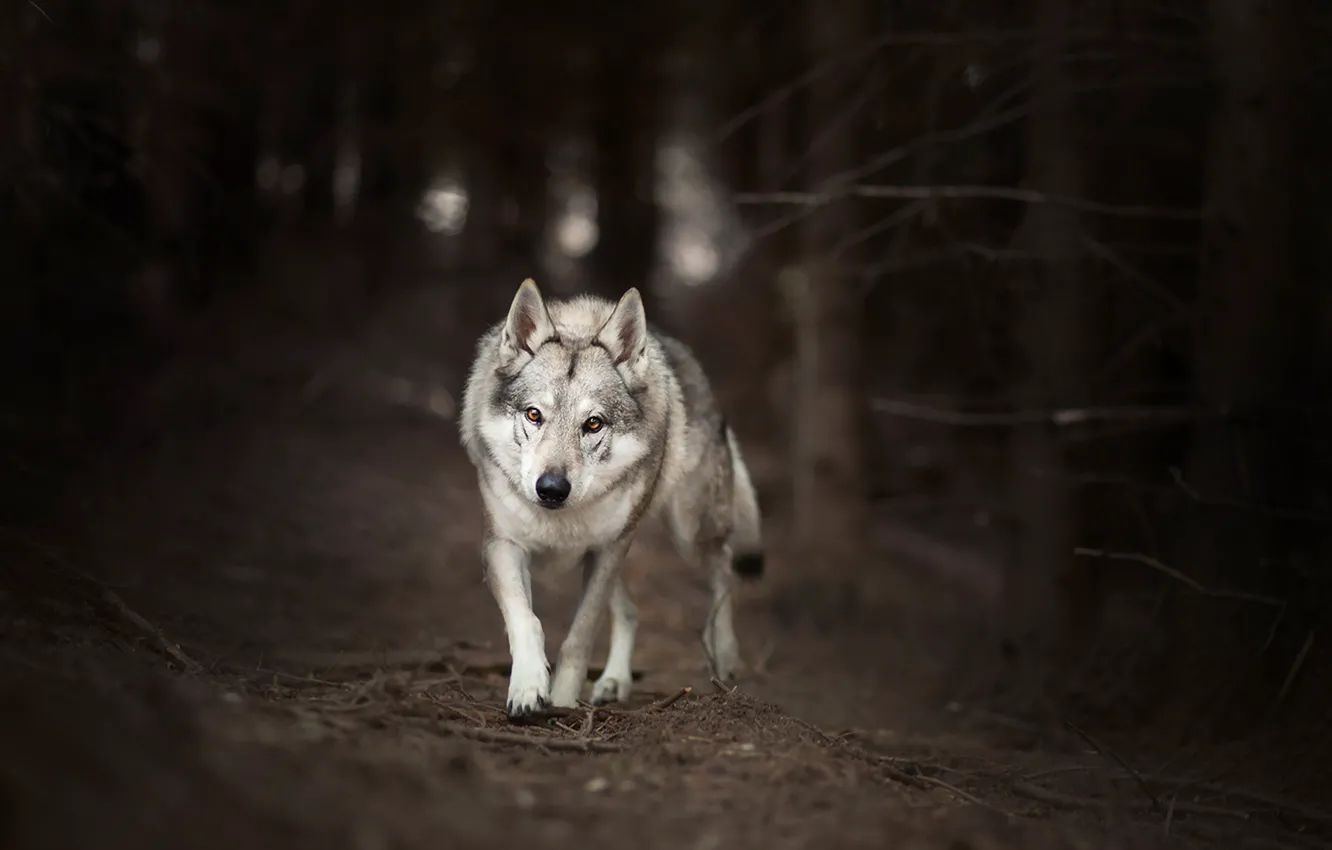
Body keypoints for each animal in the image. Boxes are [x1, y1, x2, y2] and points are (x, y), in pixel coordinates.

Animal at [459, 279, 765, 718]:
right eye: (534, 415)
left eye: (593, 424)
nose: (551, 488)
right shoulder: (503, 546)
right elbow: (526, 621)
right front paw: (528, 689)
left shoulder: (605, 551)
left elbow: (579, 638)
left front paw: (564, 703)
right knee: (632, 611)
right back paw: (615, 681)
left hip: (685, 531)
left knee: (724, 569)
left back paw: (722, 652)